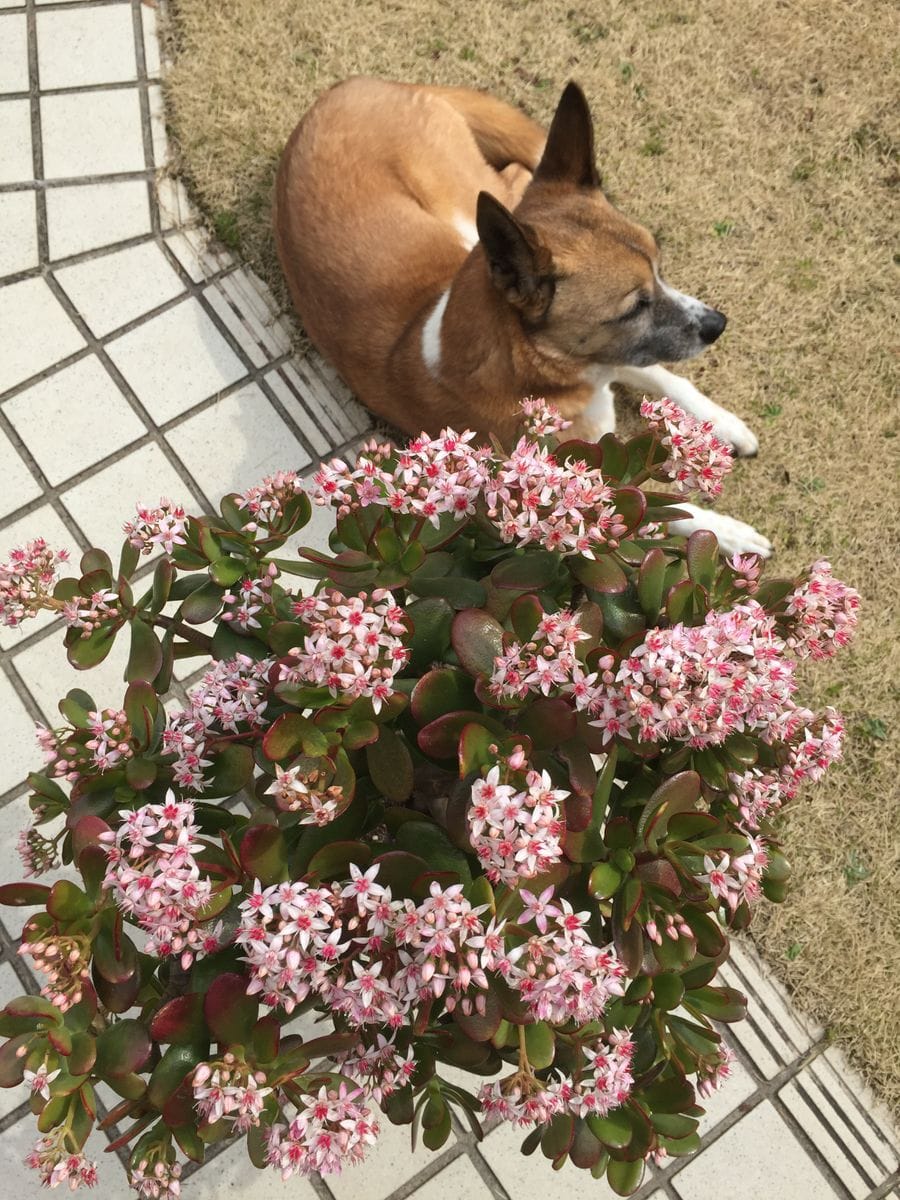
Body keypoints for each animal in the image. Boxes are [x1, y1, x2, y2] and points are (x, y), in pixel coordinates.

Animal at [277, 77, 777, 554]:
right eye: (634, 306)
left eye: (659, 267)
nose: (717, 325)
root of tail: (346, 89)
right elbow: (660, 506)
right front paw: (729, 532)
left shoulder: (617, 358)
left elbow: (667, 377)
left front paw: (724, 424)